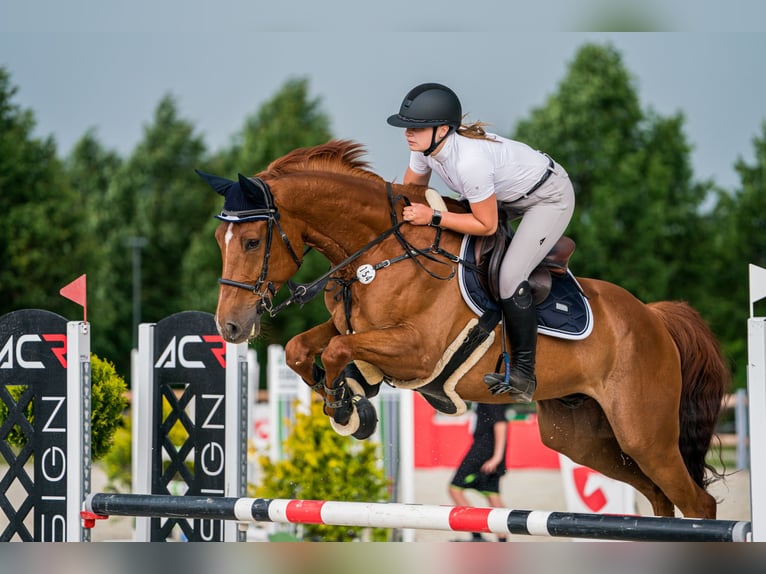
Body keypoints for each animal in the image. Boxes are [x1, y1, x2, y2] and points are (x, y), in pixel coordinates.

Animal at [202, 141, 732, 520]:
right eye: (220, 241)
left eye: (252, 241)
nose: (230, 326)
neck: (380, 253)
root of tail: (653, 317)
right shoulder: (349, 323)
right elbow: (302, 348)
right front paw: (351, 400)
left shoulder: (417, 351)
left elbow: (335, 350)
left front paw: (346, 406)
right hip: (581, 436)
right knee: (659, 498)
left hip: (644, 432)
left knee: (696, 502)